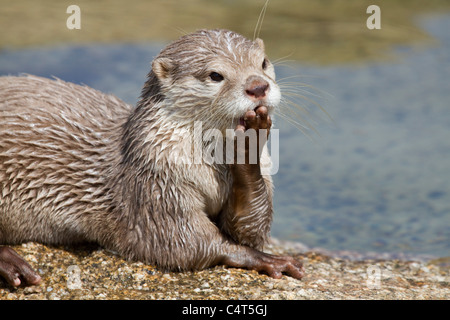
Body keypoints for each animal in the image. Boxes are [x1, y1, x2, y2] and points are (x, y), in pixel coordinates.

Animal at [0, 29, 304, 288]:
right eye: (215, 75)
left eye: (263, 62)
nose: (258, 86)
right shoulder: (155, 183)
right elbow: (184, 244)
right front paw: (265, 259)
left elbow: (249, 228)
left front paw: (249, 141)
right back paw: (11, 263)